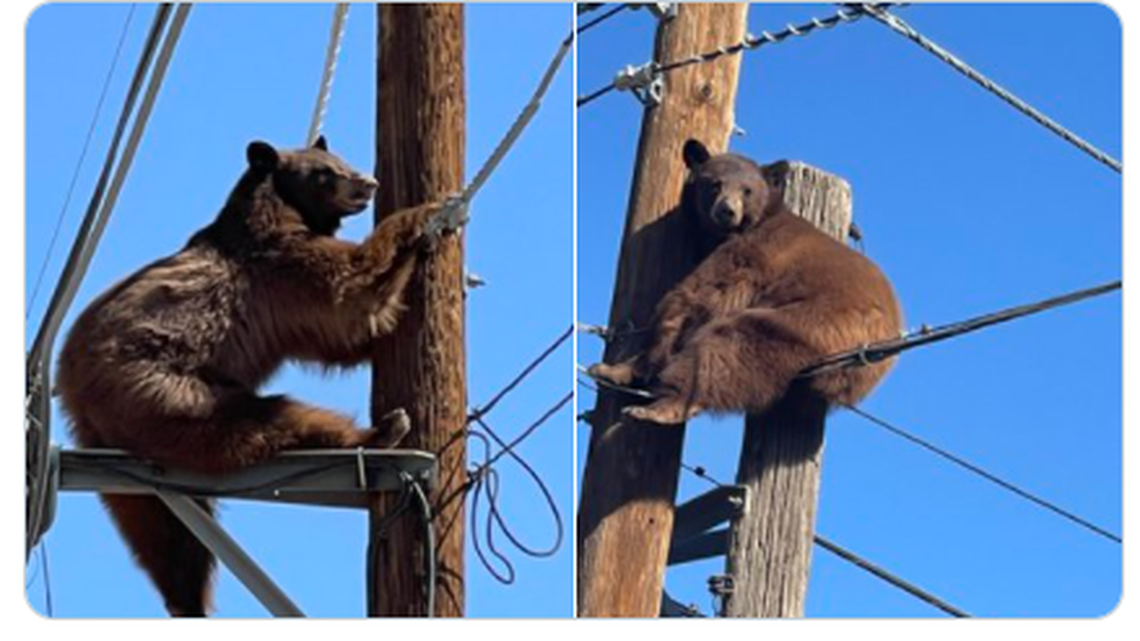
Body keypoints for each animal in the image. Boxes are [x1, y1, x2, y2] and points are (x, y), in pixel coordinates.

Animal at [56, 136, 442, 616]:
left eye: (340, 160)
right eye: (325, 172)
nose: (368, 183)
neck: (278, 209)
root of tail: (71, 385)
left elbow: (344, 336)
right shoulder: (277, 266)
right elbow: (348, 293)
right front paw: (426, 214)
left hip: (129, 450)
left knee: (161, 532)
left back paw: (186, 600)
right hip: (165, 390)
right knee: (264, 420)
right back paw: (380, 432)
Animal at [589, 139, 903, 425]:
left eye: (747, 190)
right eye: (715, 184)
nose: (727, 211)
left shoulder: (751, 253)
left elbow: (699, 296)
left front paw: (622, 368)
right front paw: (608, 370)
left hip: (819, 322)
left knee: (731, 345)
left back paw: (664, 407)